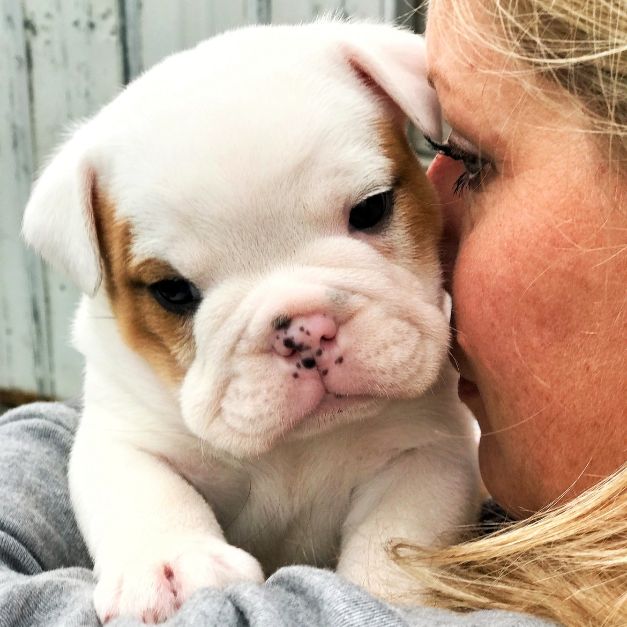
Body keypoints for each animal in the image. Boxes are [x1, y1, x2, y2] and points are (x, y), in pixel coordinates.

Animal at [20, 22, 480, 624]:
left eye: (372, 209)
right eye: (172, 291)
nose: (306, 328)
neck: (298, 444)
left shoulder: (427, 452)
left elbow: (398, 529)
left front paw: (386, 590)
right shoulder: (124, 432)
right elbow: (144, 487)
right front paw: (172, 565)